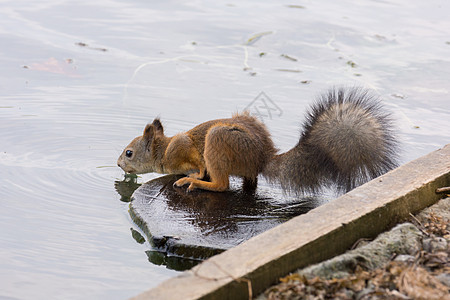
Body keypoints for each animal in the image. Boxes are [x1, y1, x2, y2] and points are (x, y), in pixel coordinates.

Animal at [118, 88, 400, 193]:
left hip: (219, 141)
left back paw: (197, 183)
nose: (119, 164)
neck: (163, 151)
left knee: (222, 185)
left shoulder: (182, 148)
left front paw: (194, 175)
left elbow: (196, 163)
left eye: (129, 152)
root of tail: (263, 158)